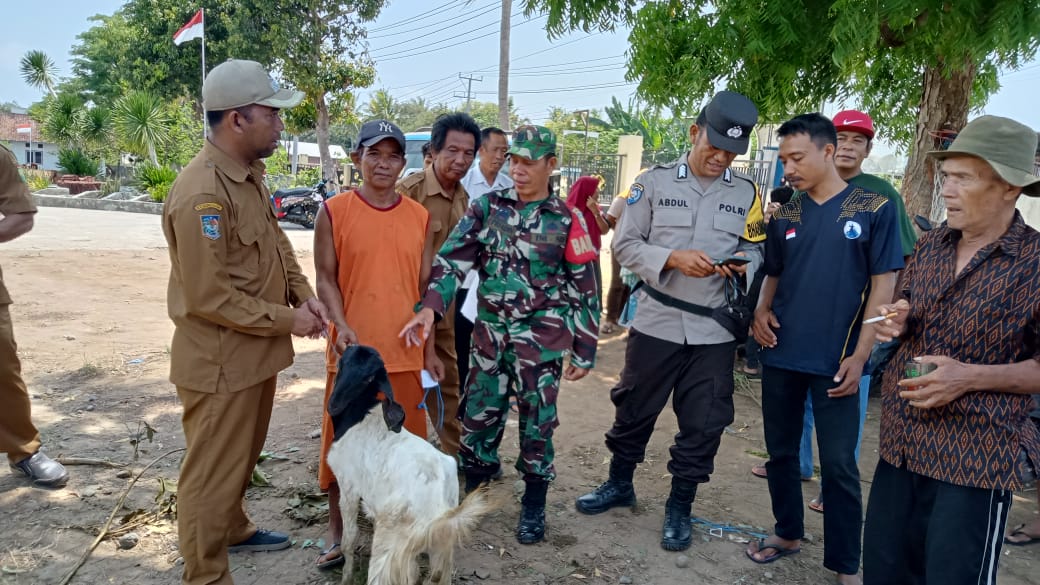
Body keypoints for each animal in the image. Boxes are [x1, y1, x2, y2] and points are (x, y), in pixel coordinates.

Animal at [324, 345, 490, 582]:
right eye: (346, 362)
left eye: (368, 378)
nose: (335, 404)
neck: (360, 414)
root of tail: (437, 507)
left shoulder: (348, 486)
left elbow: (349, 539)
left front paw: (346, 577)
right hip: (438, 547)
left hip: (391, 544)